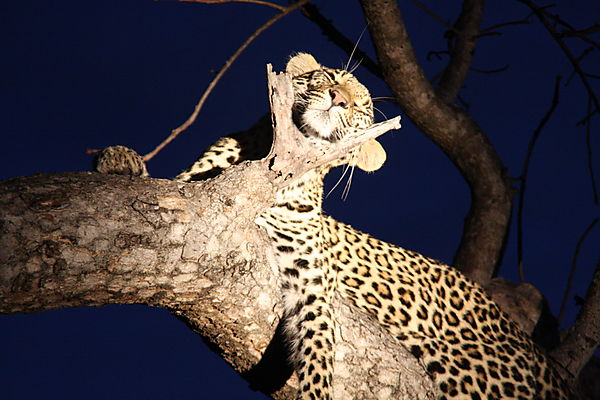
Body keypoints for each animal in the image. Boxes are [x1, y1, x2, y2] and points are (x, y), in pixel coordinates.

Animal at [96, 54, 568, 400]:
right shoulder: (192, 193)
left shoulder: (313, 288)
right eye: (328, 77)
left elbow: (320, 352)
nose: (338, 99)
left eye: (361, 108)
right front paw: (119, 158)